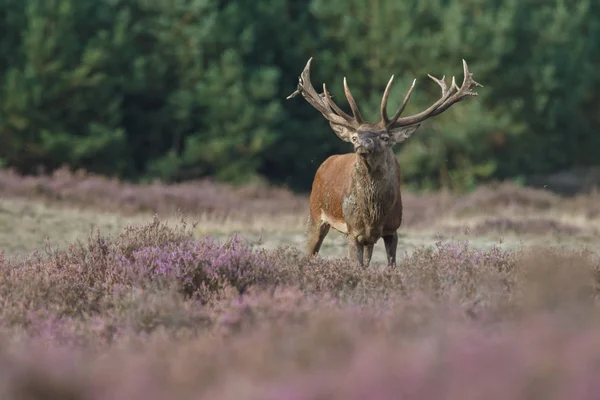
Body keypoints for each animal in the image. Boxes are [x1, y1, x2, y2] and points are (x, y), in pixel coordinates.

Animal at [286, 57, 482, 268]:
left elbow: (391, 265)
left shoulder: (393, 229)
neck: (374, 216)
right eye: (355, 137)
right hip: (314, 212)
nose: (362, 144)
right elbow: (356, 266)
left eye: (385, 137)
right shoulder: (353, 230)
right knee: (310, 251)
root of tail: (324, 164)